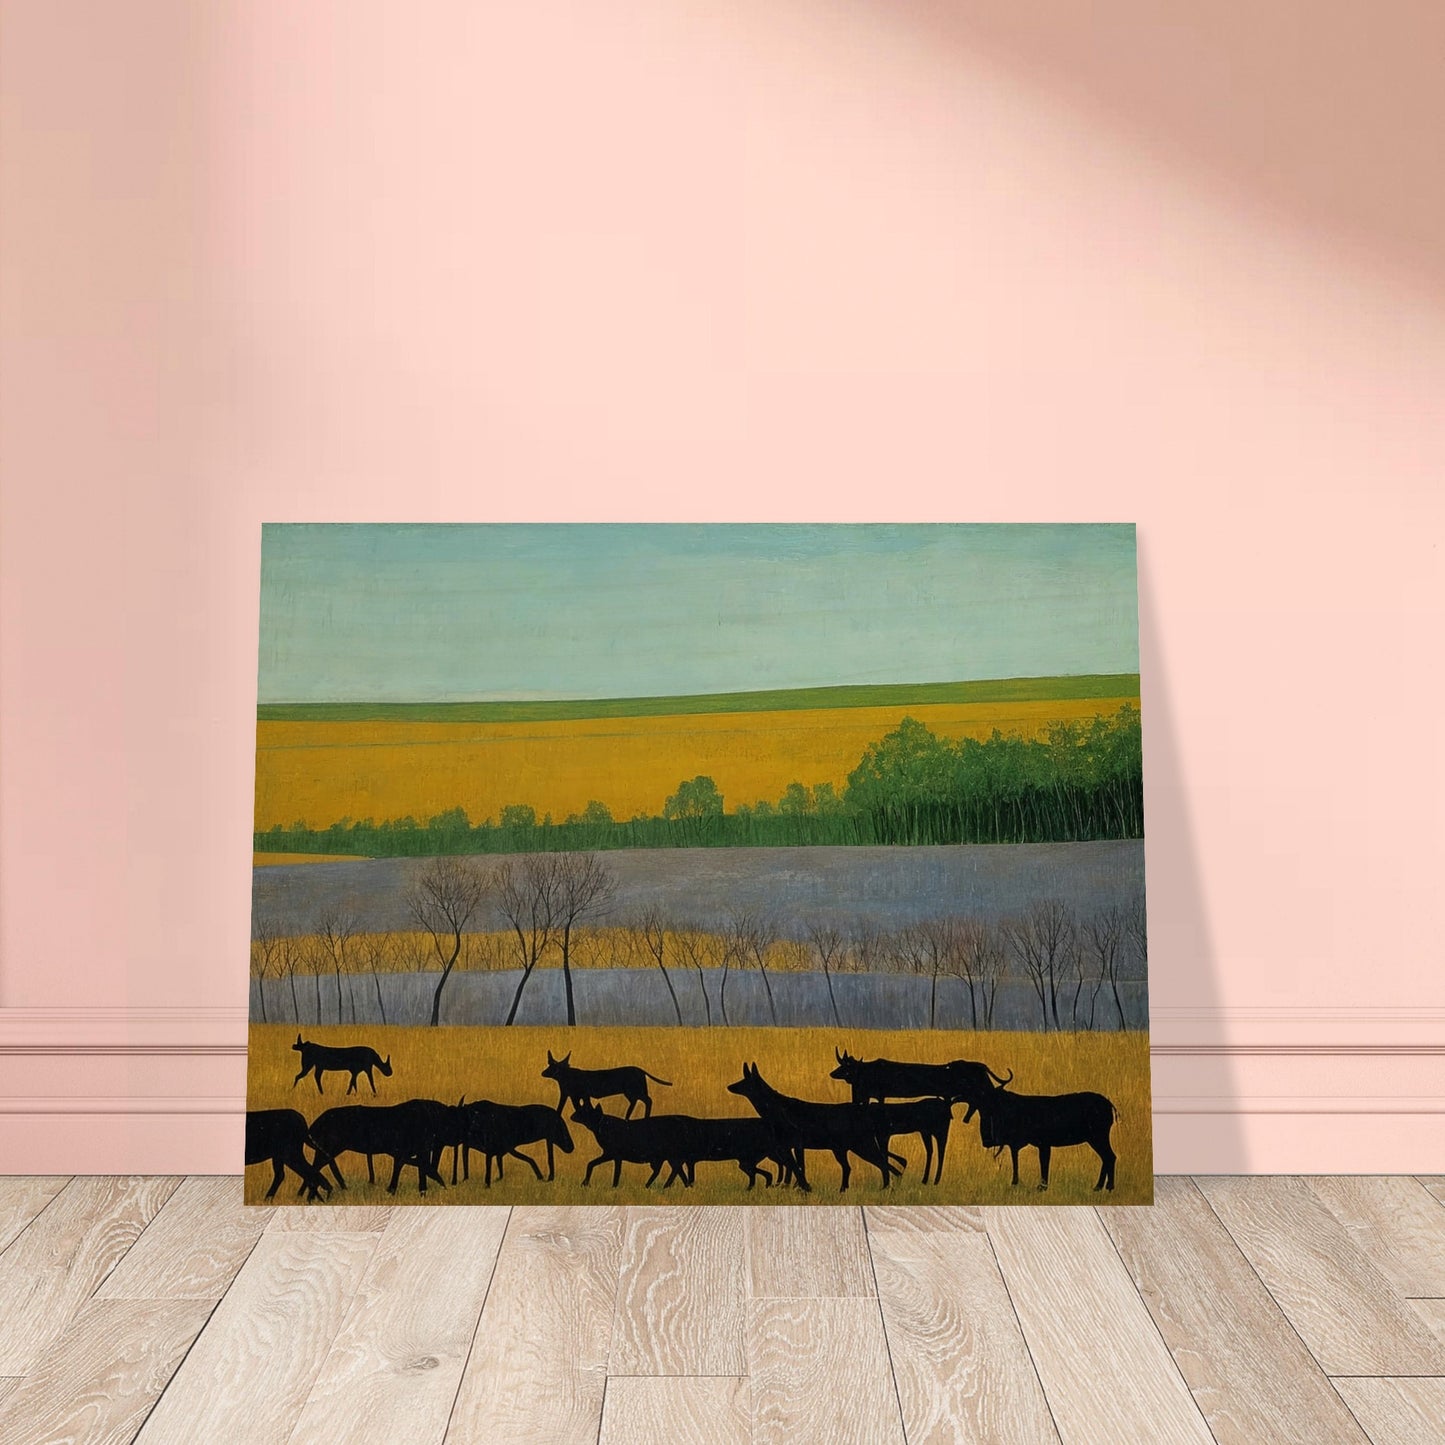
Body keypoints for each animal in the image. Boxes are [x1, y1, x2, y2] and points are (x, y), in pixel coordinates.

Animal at [728, 1063, 895, 1184]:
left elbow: (799, 1167)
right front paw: (792, 1187)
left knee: (883, 1164)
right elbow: (795, 1168)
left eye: (745, 1081)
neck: (777, 1112)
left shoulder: (797, 1142)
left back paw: (886, 1188)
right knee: (853, 1167)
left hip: (862, 1144)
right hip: (844, 1148)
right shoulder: (789, 1145)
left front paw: (800, 1187)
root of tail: (868, 1119)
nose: (729, 1086)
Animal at [959, 1080, 1115, 1190]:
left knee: (1110, 1156)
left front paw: (1041, 1187)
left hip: (1098, 1136)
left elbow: (1043, 1164)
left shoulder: (1044, 1143)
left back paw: (1106, 1186)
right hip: (1096, 1138)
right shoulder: (1032, 1144)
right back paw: (1100, 1187)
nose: (986, 1140)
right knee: (1107, 1157)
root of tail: (1111, 1106)